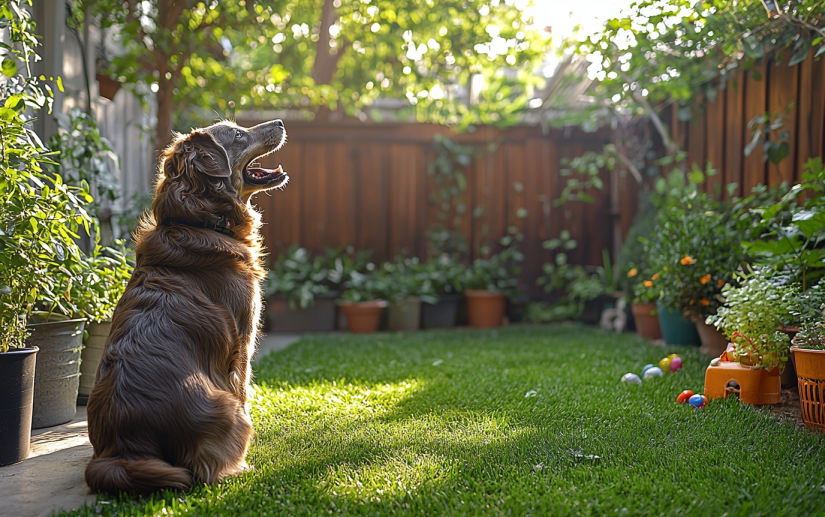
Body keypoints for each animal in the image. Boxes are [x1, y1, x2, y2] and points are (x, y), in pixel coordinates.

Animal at [85, 119, 288, 494]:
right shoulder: (242, 343)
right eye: (238, 134)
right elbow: (244, 391)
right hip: (224, 407)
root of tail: (126, 448)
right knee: (205, 469)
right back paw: (238, 467)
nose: (280, 122)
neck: (200, 221)